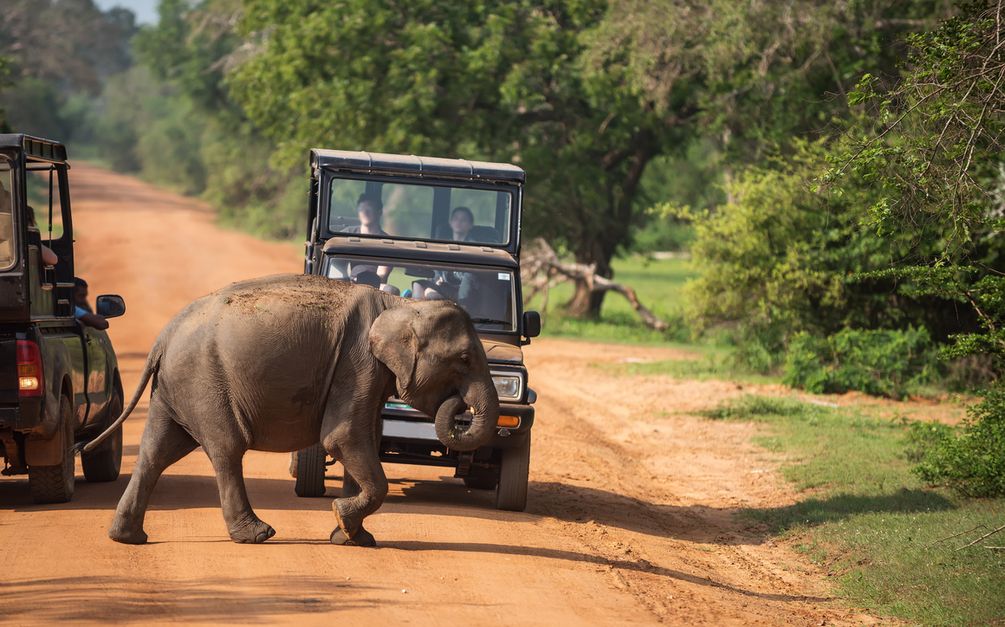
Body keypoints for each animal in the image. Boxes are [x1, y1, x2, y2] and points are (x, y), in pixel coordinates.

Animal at [84, 273, 500, 542]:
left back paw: (127, 537)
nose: (458, 404)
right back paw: (257, 534)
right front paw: (344, 522)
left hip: (173, 388)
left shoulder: (367, 373)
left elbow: (361, 438)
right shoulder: (357, 363)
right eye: (465, 358)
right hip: (203, 381)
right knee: (226, 449)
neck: (402, 306)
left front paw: (352, 536)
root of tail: (164, 335)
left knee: (156, 452)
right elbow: (342, 437)